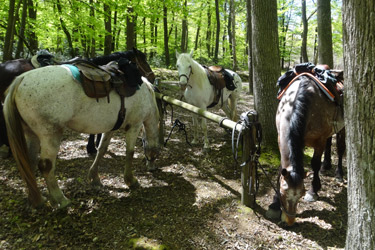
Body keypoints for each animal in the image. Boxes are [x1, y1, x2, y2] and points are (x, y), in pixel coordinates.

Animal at [4, 59, 160, 209]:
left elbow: (101, 149)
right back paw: (61, 200)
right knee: (45, 166)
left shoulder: (111, 128)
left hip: (31, 134)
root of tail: (21, 79)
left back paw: (36, 200)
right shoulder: (134, 125)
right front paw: (130, 180)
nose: (152, 168)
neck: (147, 94)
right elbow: (130, 152)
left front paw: (94, 177)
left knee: (29, 162)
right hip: (50, 135)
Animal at [268, 73, 346, 226]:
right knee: (329, 143)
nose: (289, 221)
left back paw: (339, 174)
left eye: (301, 194)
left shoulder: (319, 141)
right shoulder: (280, 137)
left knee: (340, 149)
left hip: (342, 128)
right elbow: (281, 168)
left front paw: (313, 191)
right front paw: (274, 204)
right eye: (283, 193)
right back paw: (326, 165)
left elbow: (314, 164)